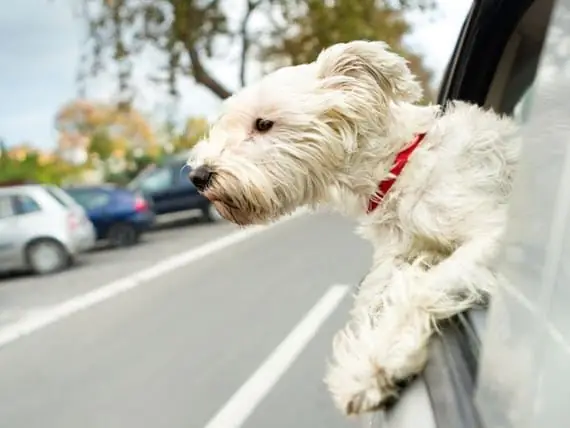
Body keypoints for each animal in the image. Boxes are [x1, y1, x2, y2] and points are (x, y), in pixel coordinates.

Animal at [186, 40, 520, 414]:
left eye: (263, 123)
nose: (197, 176)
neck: (397, 168)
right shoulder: (395, 257)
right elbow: (376, 296)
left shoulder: (492, 232)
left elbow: (423, 286)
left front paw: (375, 364)